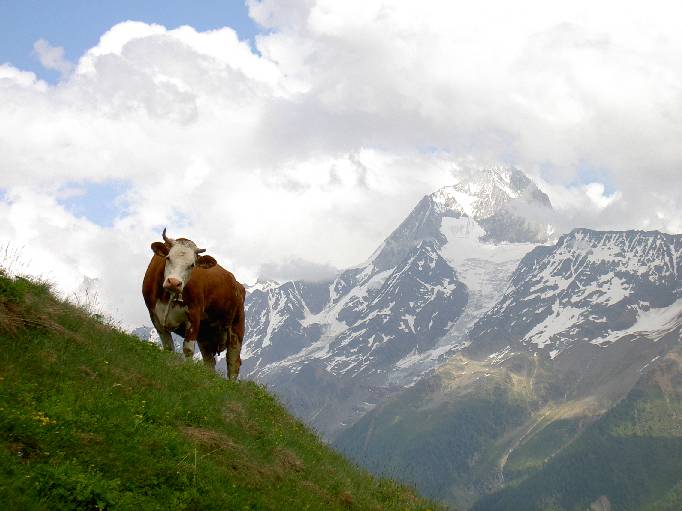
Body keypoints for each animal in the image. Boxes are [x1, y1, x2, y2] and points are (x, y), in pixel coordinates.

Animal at [142, 228, 245, 380]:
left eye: (192, 265)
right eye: (168, 258)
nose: (174, 282)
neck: (169, 297)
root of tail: (238, 285)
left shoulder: (194, 316)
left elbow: (188, 349)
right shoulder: (154, 316)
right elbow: (168, 347)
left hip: (236, 331)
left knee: (233, 364)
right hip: (205, 335)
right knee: (209, 362)